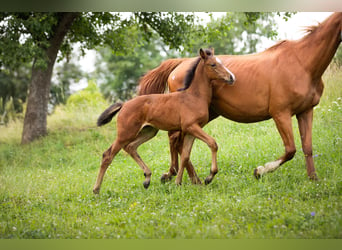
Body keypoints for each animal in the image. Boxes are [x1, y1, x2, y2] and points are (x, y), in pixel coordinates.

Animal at [138, 12, 340, 182]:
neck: (301, 62)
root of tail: (180, 63)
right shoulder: (280, 114)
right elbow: (290, 150)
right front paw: (260, 171)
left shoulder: (305, 111)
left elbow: (307, 147)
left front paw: (313, 178)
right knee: (175, 140)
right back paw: (181, 176)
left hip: (201, 118)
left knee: (180, 143)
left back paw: (190, 178)